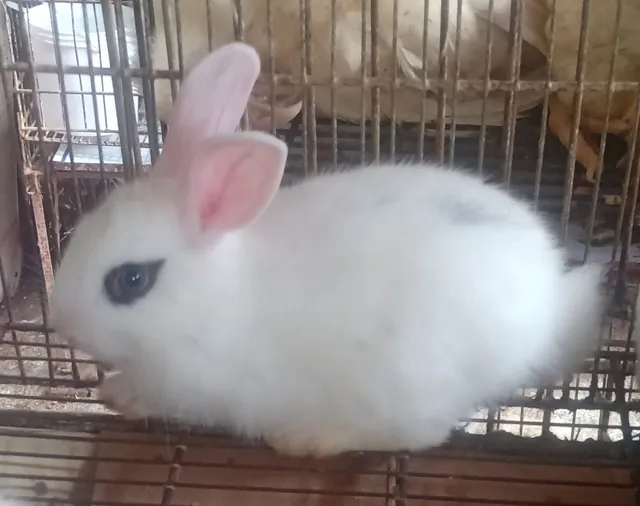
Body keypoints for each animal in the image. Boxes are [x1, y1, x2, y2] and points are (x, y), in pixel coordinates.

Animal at [50, 41, 604, 459]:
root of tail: (550, 309)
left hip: (406, 381)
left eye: (131, 281)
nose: (63, 324)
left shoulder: (189, 384)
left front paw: (115, 393)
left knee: (420, 435)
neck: (214, 297)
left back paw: (308, 440)